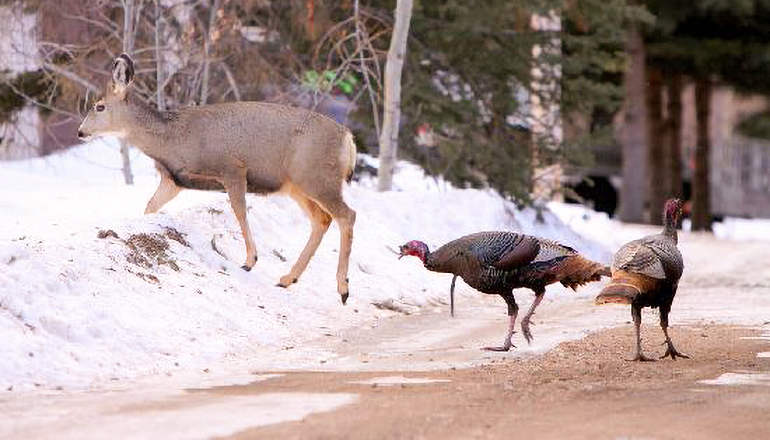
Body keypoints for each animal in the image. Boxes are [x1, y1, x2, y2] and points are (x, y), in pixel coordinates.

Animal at [76, 54, 358, 302]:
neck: (172, 140)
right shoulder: (174, 180)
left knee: (347, 215)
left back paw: (343, 288)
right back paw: (288, 278)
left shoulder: (232, 168)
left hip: (317, 177)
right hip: (297, 185)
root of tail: (348, 139)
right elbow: (149, 207)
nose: (80, 132)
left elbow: (240, 211)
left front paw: (250, 260)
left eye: (99, 106)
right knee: (322, 219)